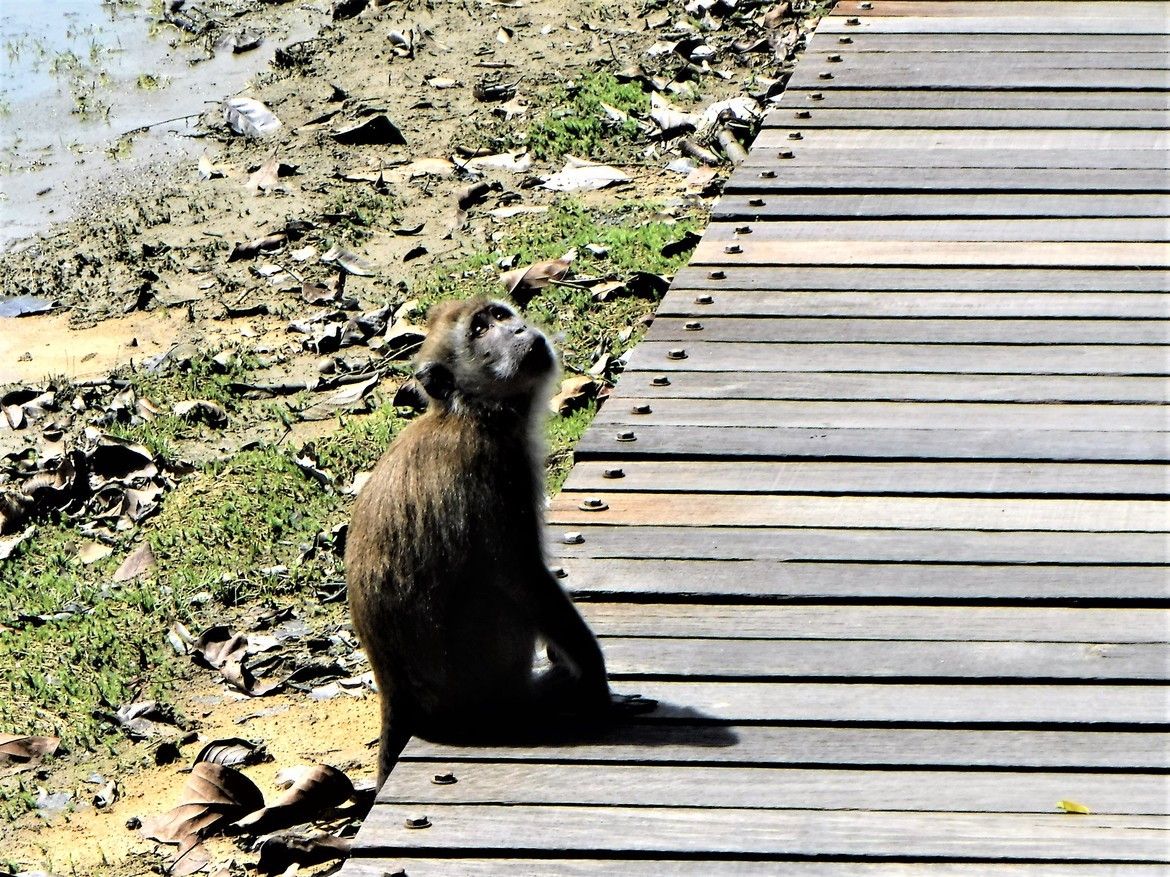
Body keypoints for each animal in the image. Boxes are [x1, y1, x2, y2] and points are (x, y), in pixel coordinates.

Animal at [346, 296, 651, 789]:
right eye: (480, 330)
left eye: (501, 316)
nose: (520, 329)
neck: (470, 412)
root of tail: (397, 695)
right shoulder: (499, 468)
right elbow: (521, 574)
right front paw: (594, 684)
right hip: (481, 683)